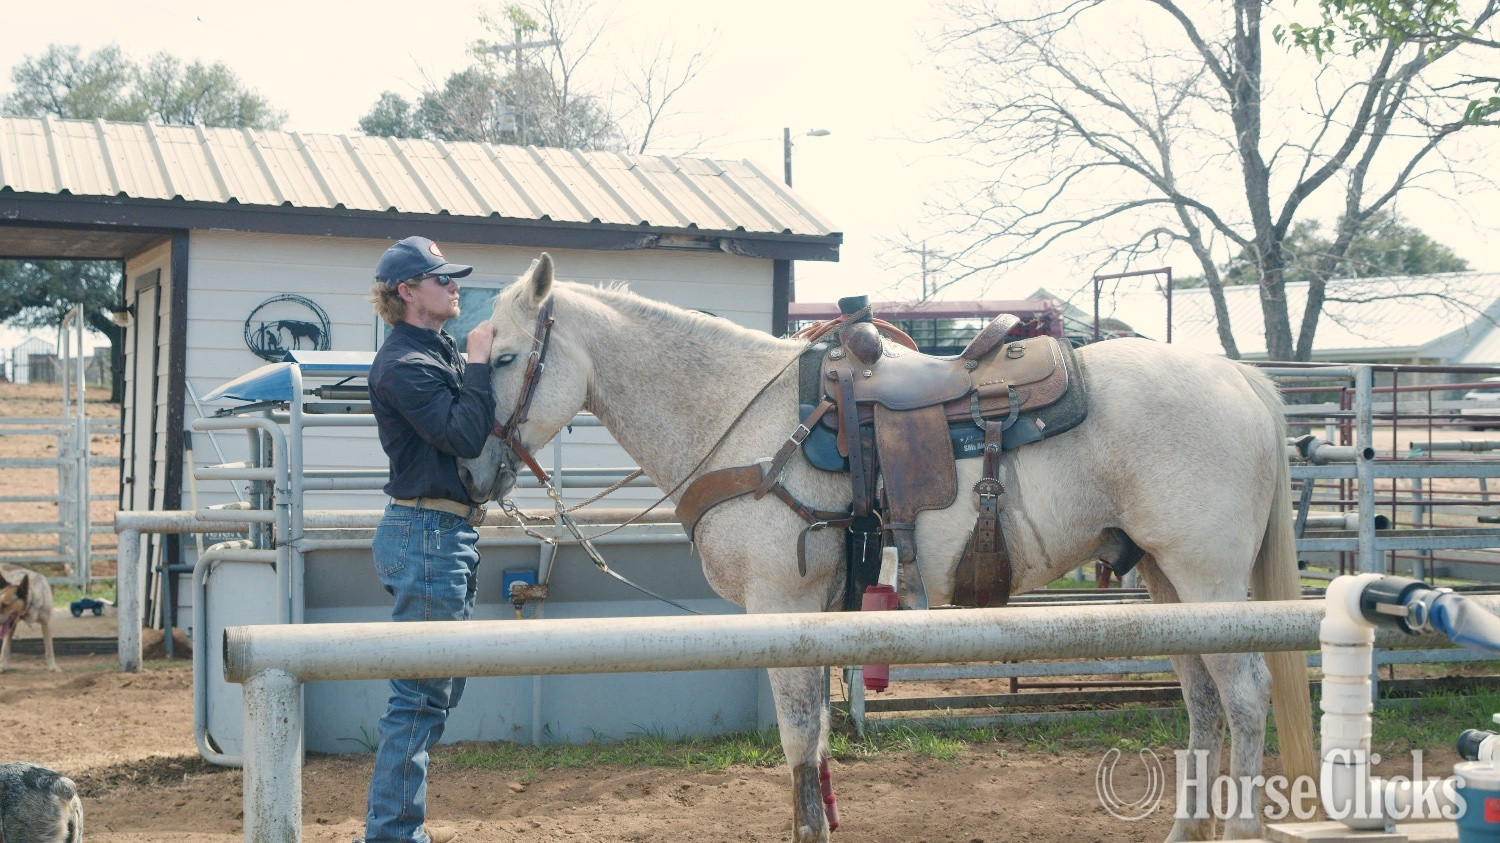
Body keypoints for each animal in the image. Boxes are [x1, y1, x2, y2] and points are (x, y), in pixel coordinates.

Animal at [458, 254, 1316, 842]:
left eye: (504, 357)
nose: (469, 468)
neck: (744, 417)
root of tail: (1242, 381)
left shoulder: (782, 606)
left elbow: (797, 740)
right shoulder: (810, 616)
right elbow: (814, 742)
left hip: (1208, 578)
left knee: (1245, 697)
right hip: (1168, 583)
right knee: (1205, 702)